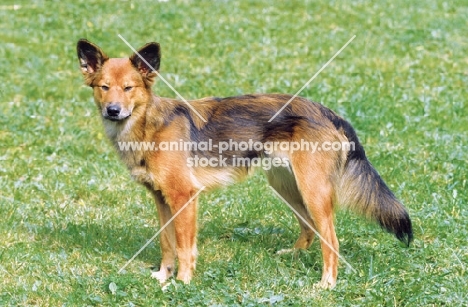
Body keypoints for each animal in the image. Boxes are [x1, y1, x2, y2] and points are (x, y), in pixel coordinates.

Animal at [77, 38, 414, 288]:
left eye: (129, 88)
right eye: (104, 87)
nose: (113, 111)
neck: (149, 126)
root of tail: (328, 112)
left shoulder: (184, 197)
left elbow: (184, 247)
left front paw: (182, 283)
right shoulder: (162, 199)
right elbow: (166, 243)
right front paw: (163, 276)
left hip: (312, 190)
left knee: (330, 239)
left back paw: (326, 284)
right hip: (286, 187)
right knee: (309, 227)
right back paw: (293, 255)